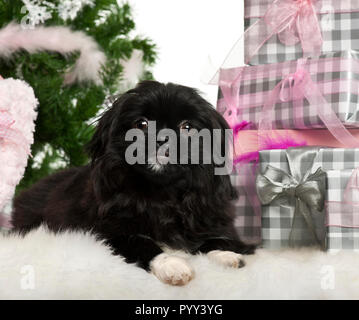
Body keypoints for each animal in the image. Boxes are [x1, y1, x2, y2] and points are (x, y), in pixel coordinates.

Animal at [11, 82, 256, 284]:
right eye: (142, 124)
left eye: (187, 127)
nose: (162, 138)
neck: (163, 194)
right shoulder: (108, 233)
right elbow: (142, 243)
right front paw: (172, 264)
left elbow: (214, 241)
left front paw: (226, 255)